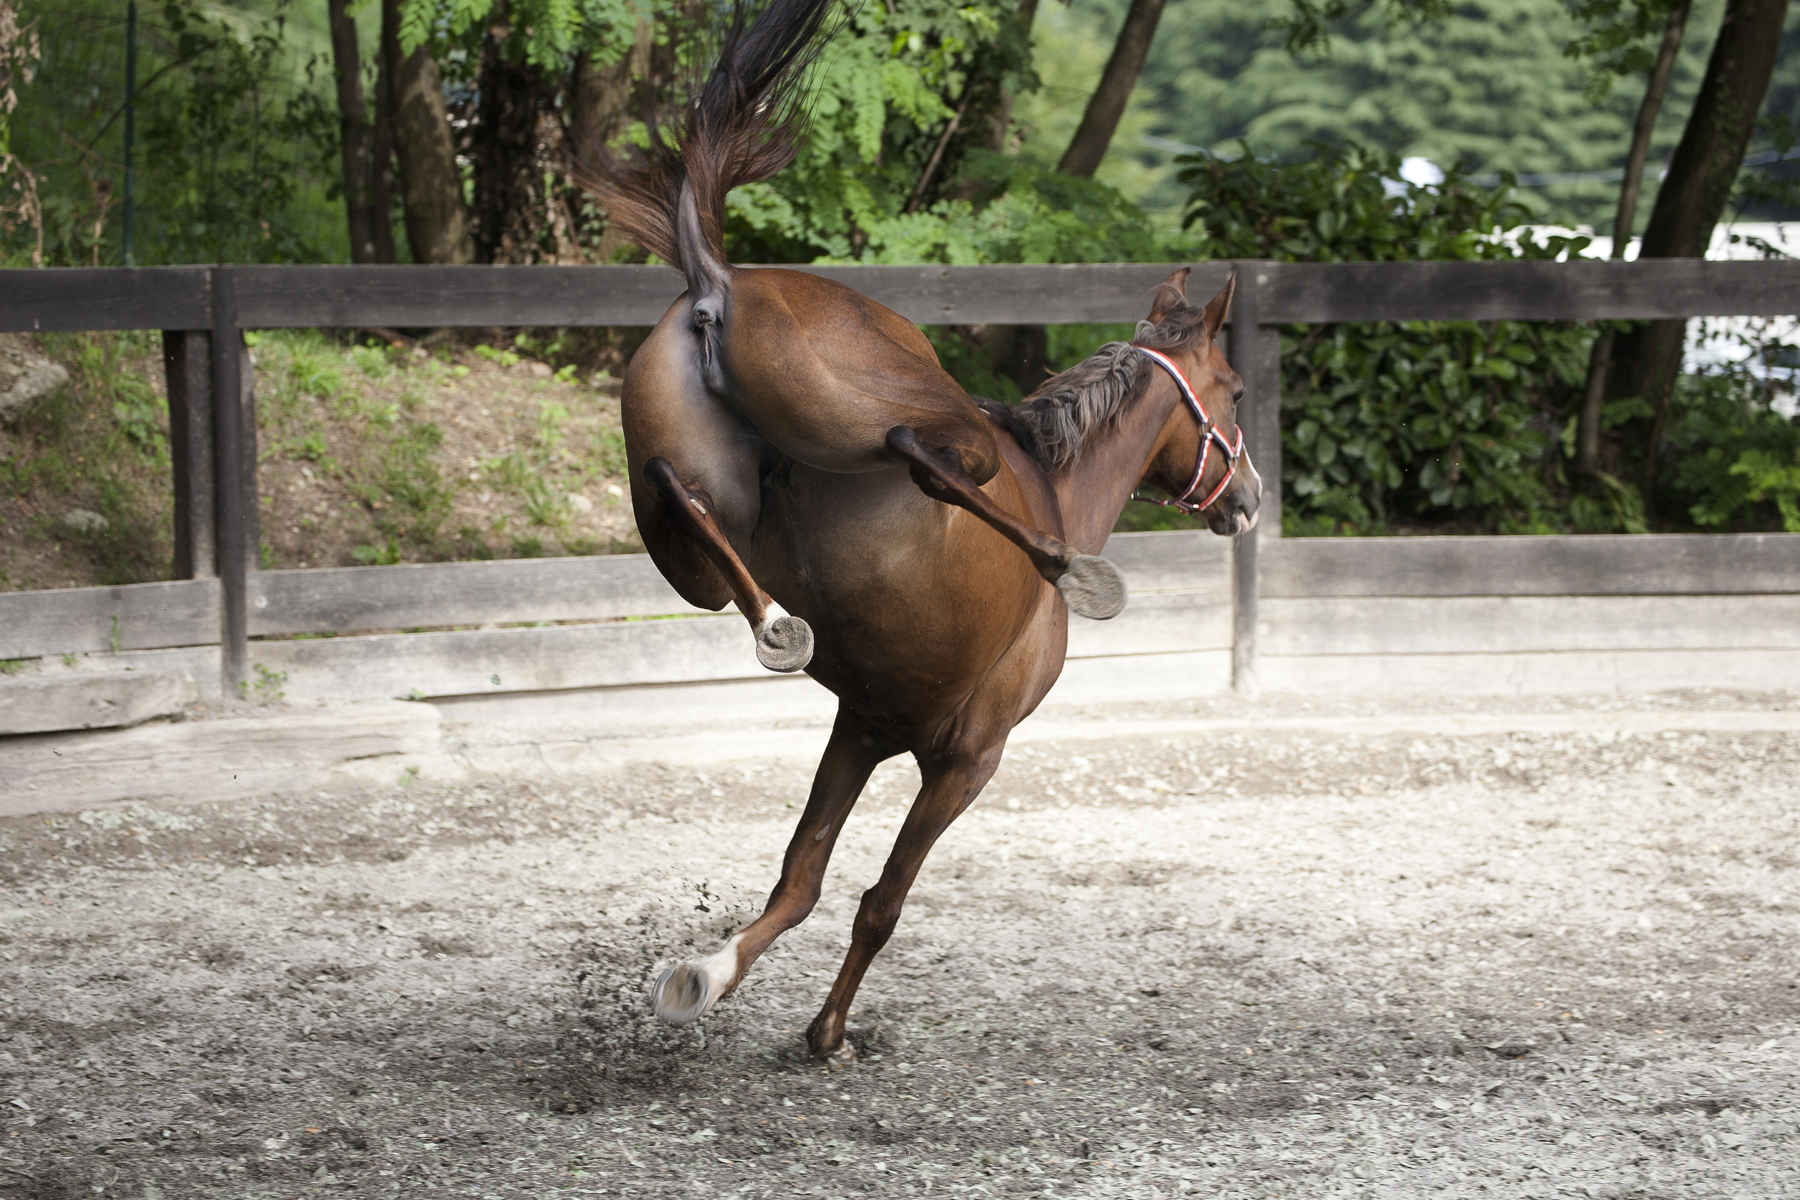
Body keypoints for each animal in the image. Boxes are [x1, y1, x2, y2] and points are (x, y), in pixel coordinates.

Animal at [577, 0, 1262, 1064]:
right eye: (1231, 393)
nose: (1250, 498)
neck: (1057, 485)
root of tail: (721, 279)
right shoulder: (967, 758)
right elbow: (881, 901)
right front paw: (825, 1031)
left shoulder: (862, 725)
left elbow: (802, 878)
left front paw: (707, 975)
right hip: (903, 426)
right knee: (917, 447)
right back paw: (1067, 568)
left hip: (694, 523)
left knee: (677, 495)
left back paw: (777, 619)